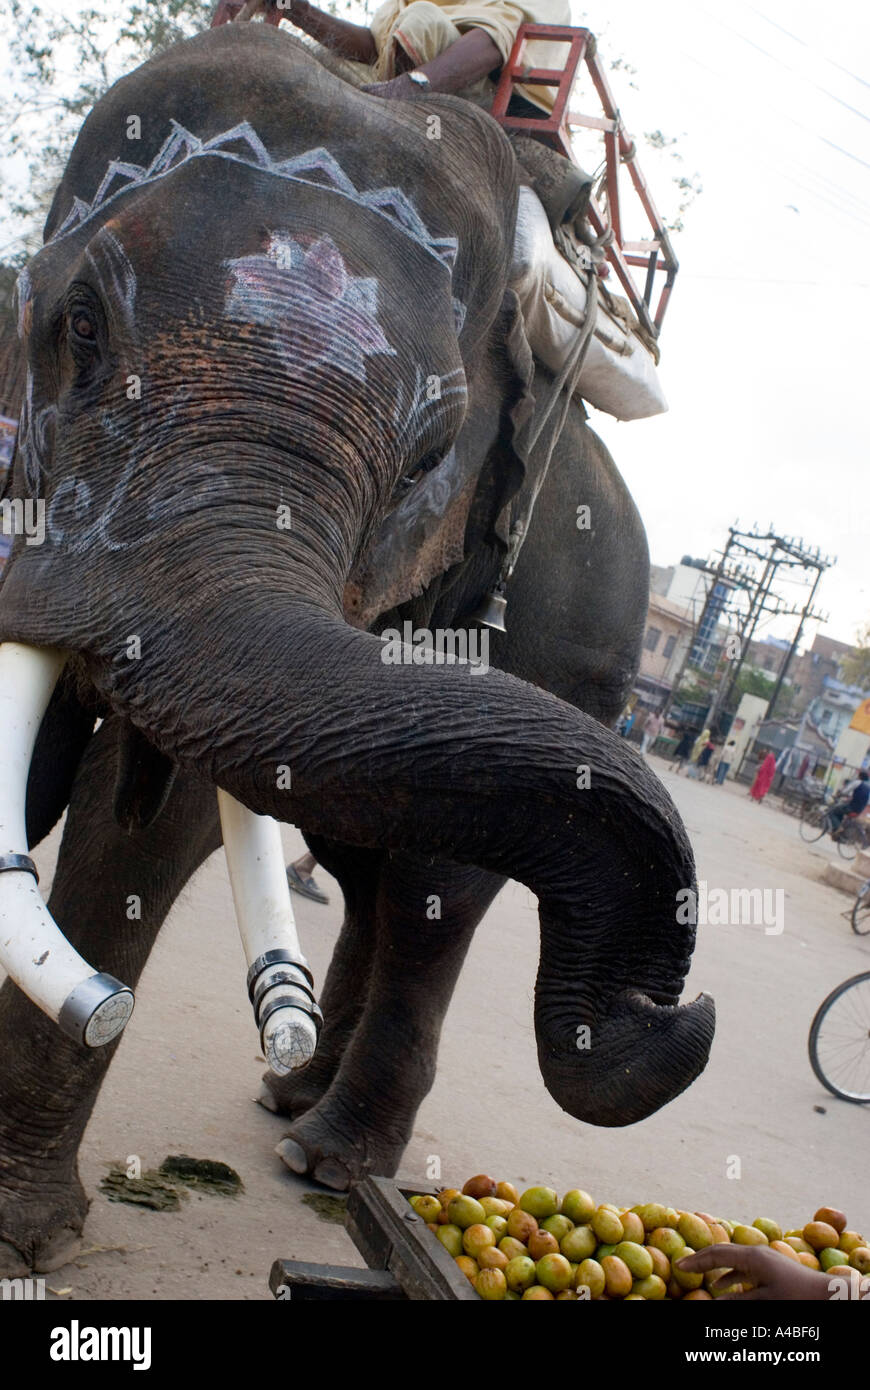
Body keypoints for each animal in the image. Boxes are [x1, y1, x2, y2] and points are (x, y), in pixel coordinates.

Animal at [0, 21, 711, 1273]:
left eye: (433, 452)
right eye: (77, 322)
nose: (670, 1012)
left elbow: (156, 818)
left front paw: (24, 1232)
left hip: (575, 663)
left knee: (430, 891)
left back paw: (330, 1157)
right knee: (373, 866)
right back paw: (293, 1100)